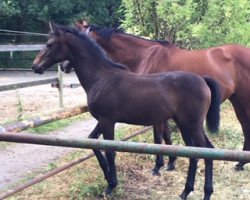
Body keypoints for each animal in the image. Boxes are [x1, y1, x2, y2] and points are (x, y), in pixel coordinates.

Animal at [31, 23, 221, 200]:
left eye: (49, 44)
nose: (35, 66)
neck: (101, 77)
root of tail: (203, 79)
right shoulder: (103, 121)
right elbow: (93, 142)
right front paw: (107, 176)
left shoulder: (107, 121)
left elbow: (110, 151)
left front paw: (111, 185)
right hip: (184, 124)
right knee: (195, 153)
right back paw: (187, 191)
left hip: (192, 125)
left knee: (206, 152)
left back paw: (204, 193)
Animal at [62, 19, 250, 170]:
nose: (63, 66)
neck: (145, 55)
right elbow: (165, 135)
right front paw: (171, 162)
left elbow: (158, 137)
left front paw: (160, 164)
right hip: (236, 100)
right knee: (244, 126)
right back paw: (240, 163)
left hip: (243, 99)